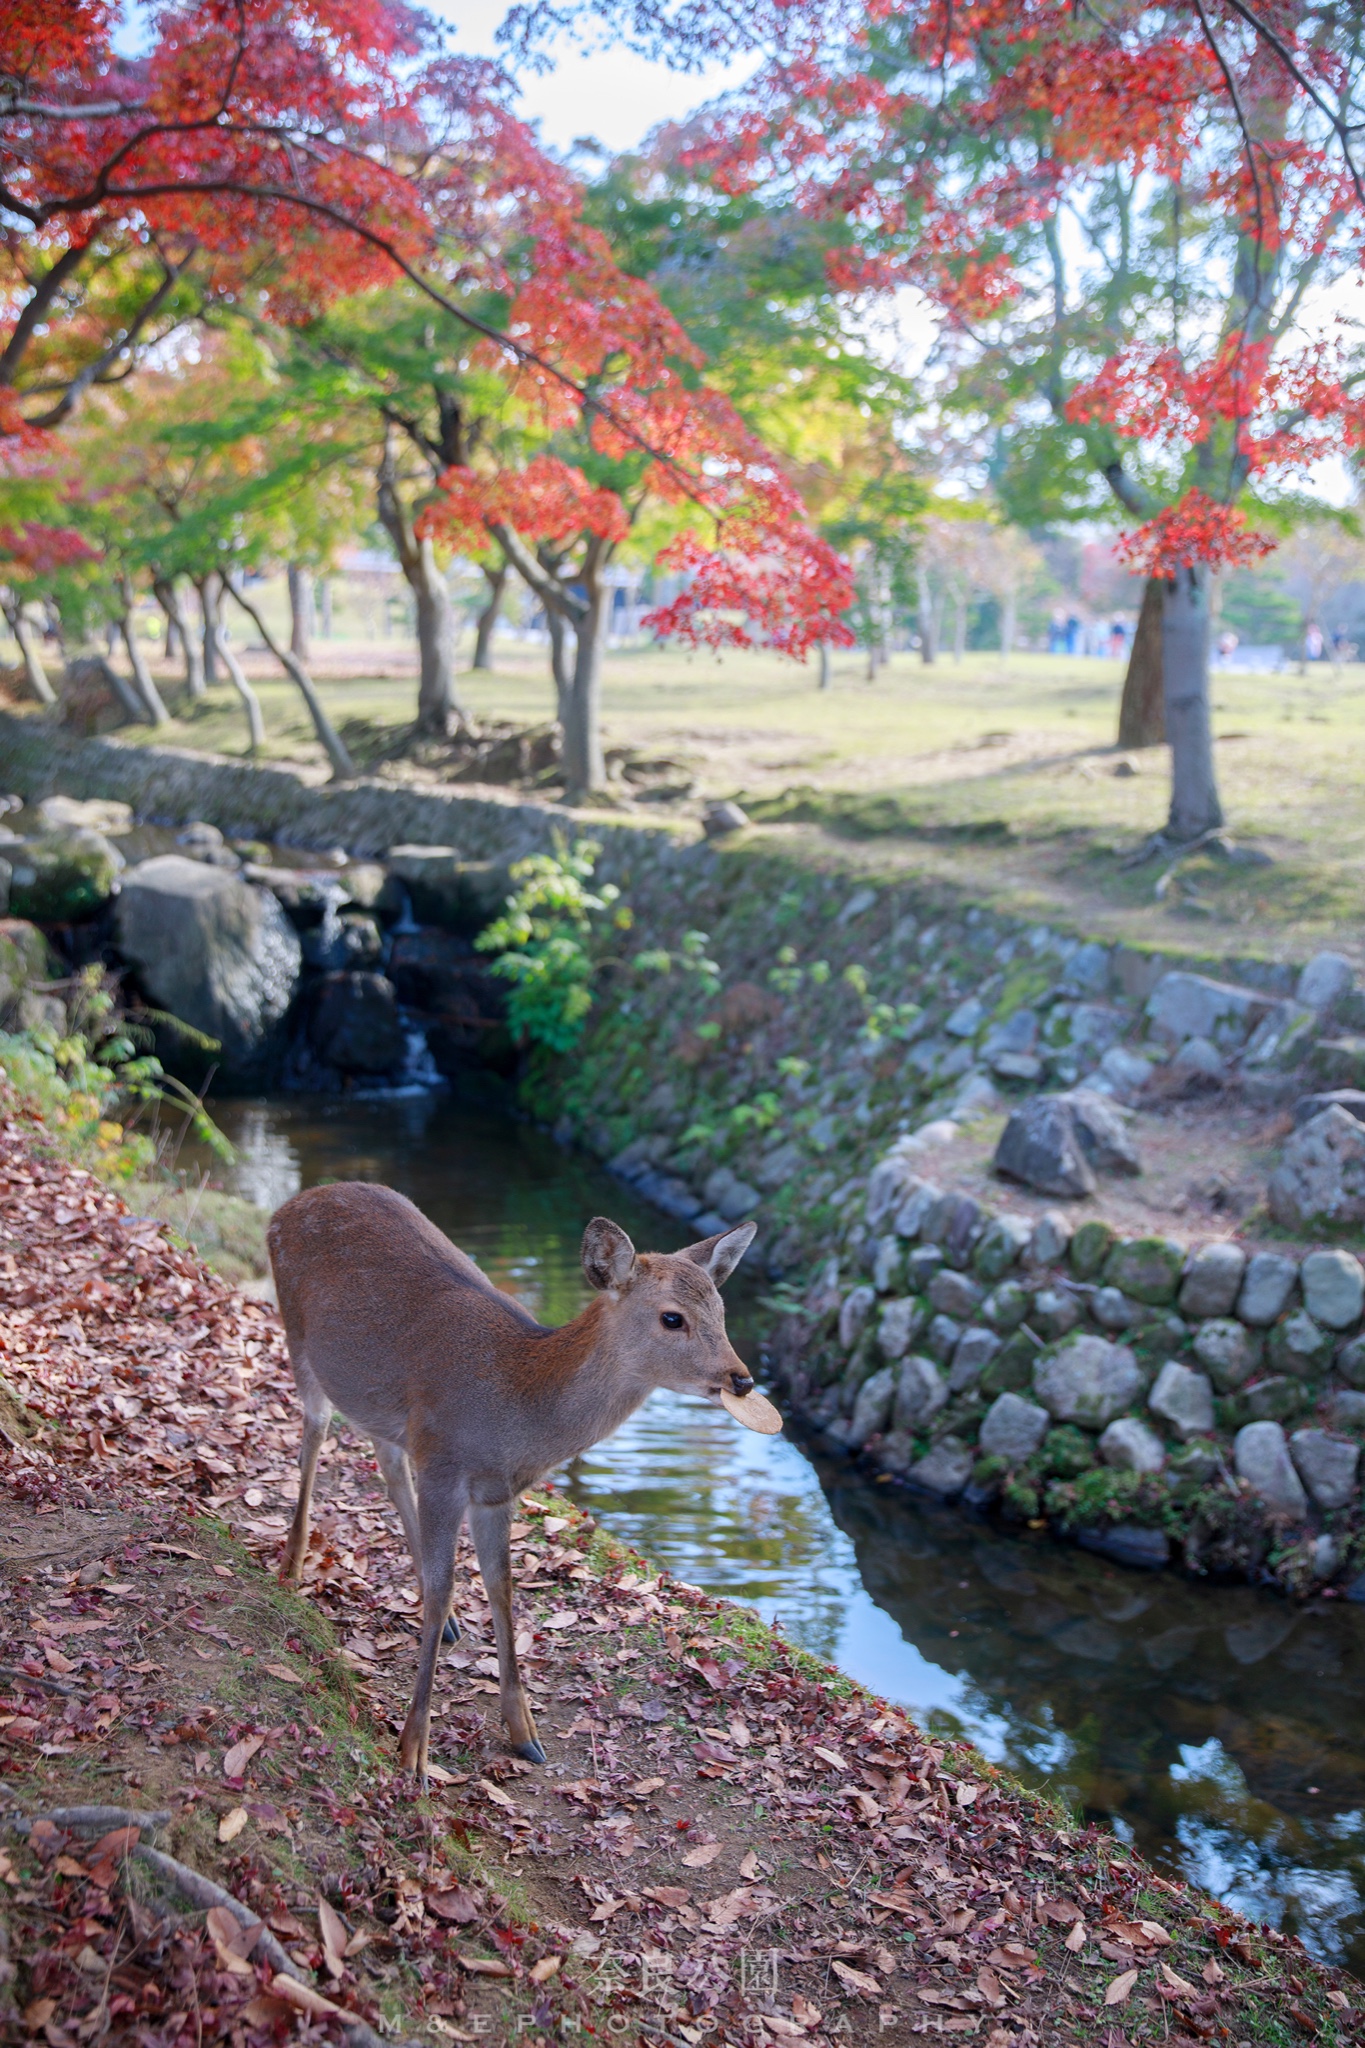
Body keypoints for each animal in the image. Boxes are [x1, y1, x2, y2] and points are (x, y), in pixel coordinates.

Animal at [266, 1179, 773, 1785]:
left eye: (720, 1308)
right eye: (672, 1318)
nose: (741, 1379)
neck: (515, 1408)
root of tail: (292, 1203)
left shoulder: (494, 1490)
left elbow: (502, 1587)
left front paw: (524, 1732)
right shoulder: (444, 1464)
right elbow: (447, 1585)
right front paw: (413, 1752)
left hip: (378, 1401)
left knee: (386, 1461)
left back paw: (445, 1619)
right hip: (298, 1334)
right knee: (314, 1435)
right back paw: (291, 1565)